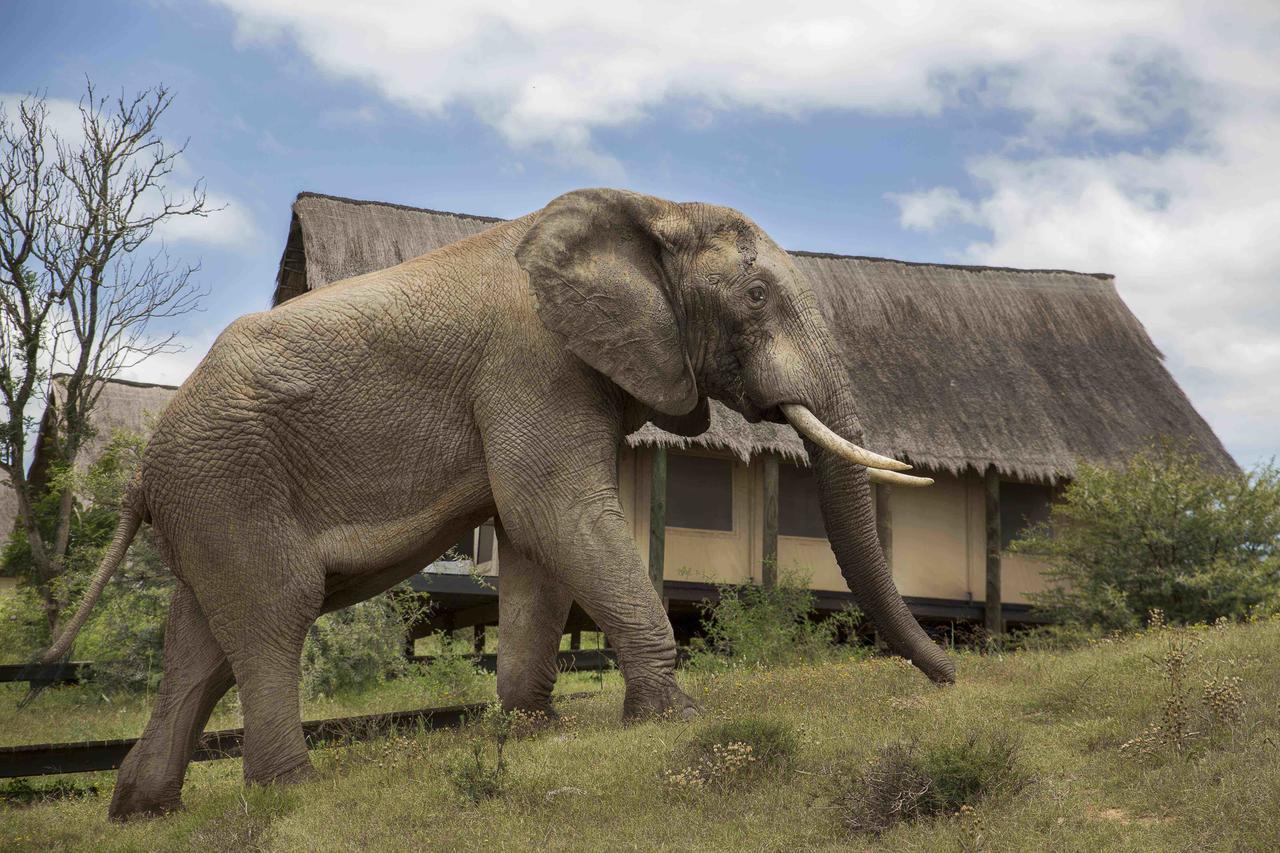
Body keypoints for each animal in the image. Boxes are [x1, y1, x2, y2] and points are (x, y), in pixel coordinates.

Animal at [40, 188, 957, 819]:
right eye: (758, 299)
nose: (952, 678)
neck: (650, 208)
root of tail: (141, 470)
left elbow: (533, 538)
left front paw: (533, 731)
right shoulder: (535, 363)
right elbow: (555, 508)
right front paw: (675, 716)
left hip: (208, 498)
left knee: (199, 645)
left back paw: (143, 810)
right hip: (229, 481)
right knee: (272, 613)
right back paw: (292, 790)